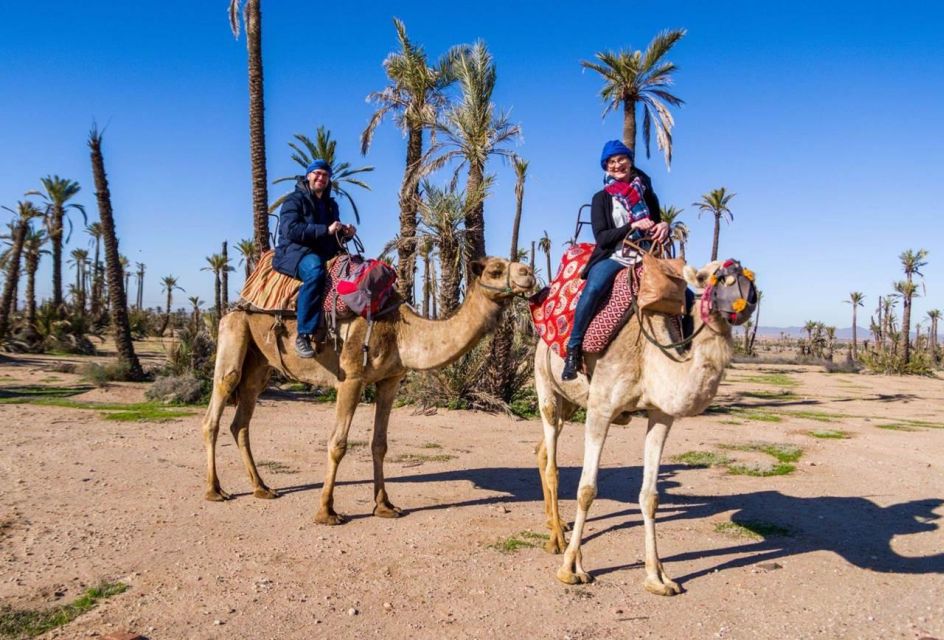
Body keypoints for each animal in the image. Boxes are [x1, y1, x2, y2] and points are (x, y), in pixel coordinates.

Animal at [202, 255, 536, 524]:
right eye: (495, 270)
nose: (529, 273)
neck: (401, 330)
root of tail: (239, 302)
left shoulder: (390, 380)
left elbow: (380, 444)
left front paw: (385, 505)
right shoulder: (351, 377)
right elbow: (337, 444)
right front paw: (327, 512)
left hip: (260, 364)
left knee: (241, 420)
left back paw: (262, 488)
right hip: (233, 333)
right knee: (217, 406)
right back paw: (215, 490)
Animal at [536, 258, 756, 596]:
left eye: (750, 276)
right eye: (709, 277)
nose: (748, 298)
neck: (649, 355)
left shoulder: (660, 414)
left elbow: (650, 497)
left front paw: (658, 578)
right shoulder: (600, 409)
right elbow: (587, 490)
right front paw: (571, 569)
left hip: (570, 402)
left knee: (543, 451)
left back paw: (555, 525)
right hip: (545, 384)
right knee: (552, 462)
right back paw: (557, 541)